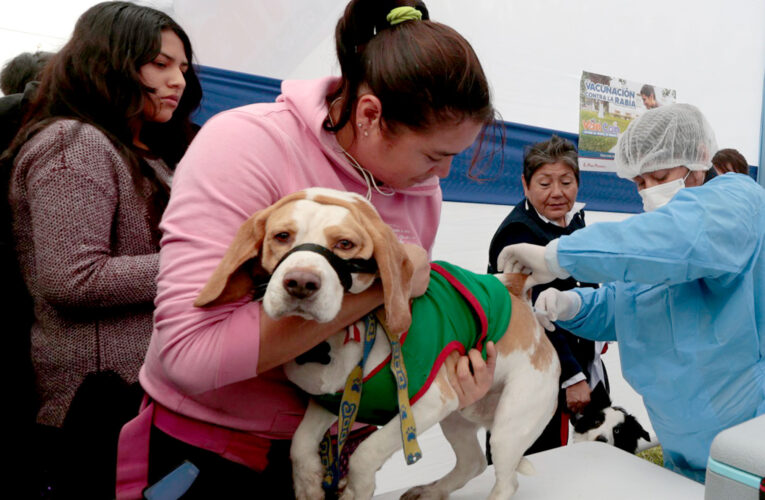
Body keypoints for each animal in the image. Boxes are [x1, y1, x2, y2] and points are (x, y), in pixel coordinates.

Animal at [194, 188, 560, 500]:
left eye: (345, 243)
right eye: (281, 237)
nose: (300, 283)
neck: (338, 339)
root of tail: (513, 287)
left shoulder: (426, 406)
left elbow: (366, 453)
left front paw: (356, 489)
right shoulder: (328, 402)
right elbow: (299, 445)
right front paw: (309, 484)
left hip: (509, 426)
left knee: (506, 480)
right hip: (458, 416)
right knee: (473, 462)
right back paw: (431, 491)